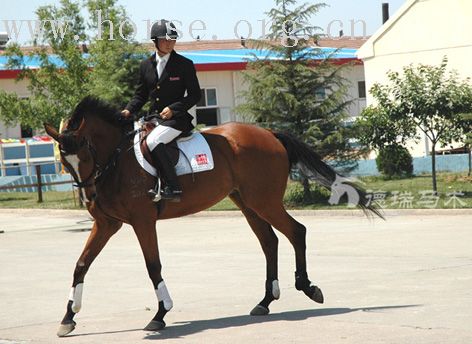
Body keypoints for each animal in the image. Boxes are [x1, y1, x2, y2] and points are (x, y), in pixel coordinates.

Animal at [44, 96, 382, 336]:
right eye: (65, 161)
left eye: (86, 151)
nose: (89, 197)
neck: (116, 159)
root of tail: (269, 133)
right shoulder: (107, 223)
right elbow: (81, 265)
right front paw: (68, 318)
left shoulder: (142, 221)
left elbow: (153, 266)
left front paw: (160, 314)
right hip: (247, 203)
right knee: (269, 241)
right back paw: (265, 301)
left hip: (264, 200)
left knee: (296, 232)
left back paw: (308, 288)